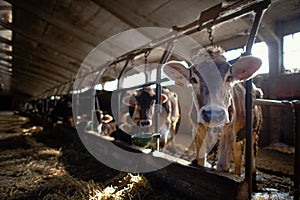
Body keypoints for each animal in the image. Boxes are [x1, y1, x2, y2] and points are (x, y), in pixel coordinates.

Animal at [163, 45, 264, 175]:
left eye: (229, 77)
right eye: (193, 79)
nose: (213, 114)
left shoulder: (229, 130)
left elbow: (222, 165)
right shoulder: (197, 129)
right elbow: (200, 161)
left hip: (254, 131)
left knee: (251, 161)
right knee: (238, 153)